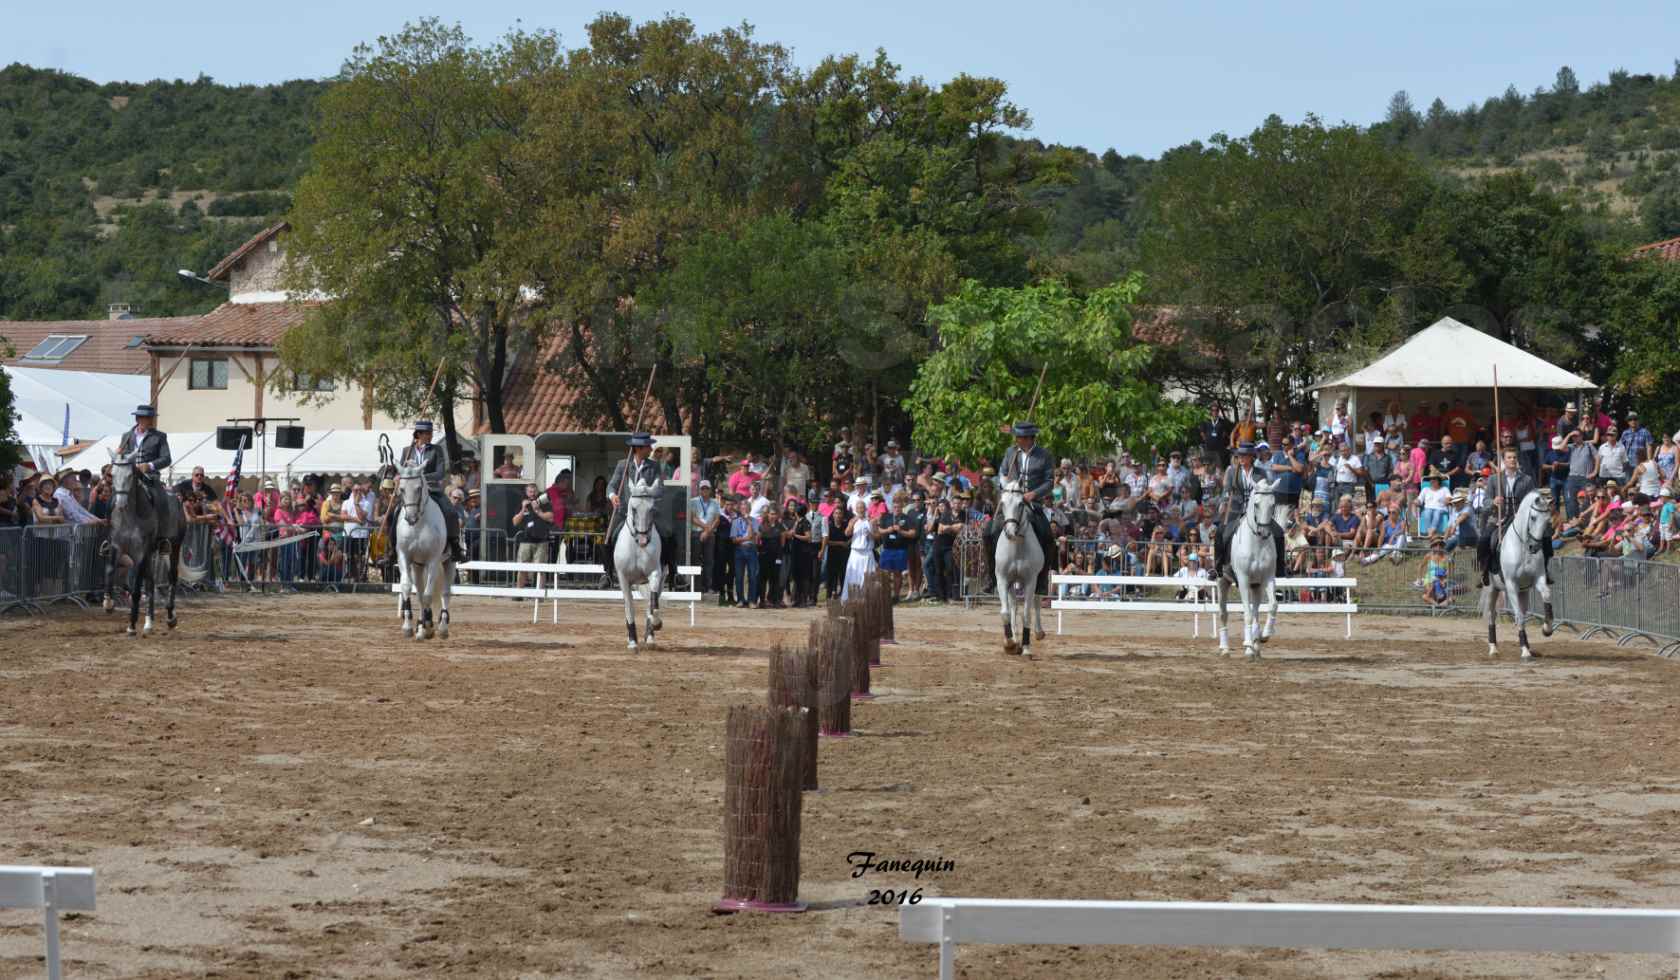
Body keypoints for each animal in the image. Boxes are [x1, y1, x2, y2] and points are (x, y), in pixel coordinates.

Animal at [389, 460, 450, 638]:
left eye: (418, 488)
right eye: (401, 489)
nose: (410, 518)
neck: (419, 524)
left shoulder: (433, 560)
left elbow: (429, 595)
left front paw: (429, 627)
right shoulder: (404, 557)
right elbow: (407, 588)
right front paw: (409, 627)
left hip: (449, 562)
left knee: (445, 593)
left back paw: (442, 627)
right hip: (418, 566)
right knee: (421, 594)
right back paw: (421, 628)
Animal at [987, 477, 1041, 658]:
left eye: (1020, 504)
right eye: (1002, 503)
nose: (1010, 532)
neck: (1017, 545)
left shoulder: (1031, 581)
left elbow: (1026, 614)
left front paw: (1026, 647)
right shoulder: (1002, 580)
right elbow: (1006, 612)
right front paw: (1010, 643)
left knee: (1037, 601)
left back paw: (1039, 632)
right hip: (1012, 583)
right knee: (1013, 607)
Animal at [1216, 477, 1276, 658]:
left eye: (1273, 504)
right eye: (1256, 504)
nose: (1264, 532)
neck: (1257, 543)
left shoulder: (1267, 578)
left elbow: (1272, 606)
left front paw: (1263, 636)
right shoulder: (1243, 579)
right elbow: (1248, 614)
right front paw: (1248, 644)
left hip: (1256, 586)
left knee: (1256, 611)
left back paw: (1256, 645)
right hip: (1222, 581)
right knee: (1223, 613)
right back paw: (1225, 649)